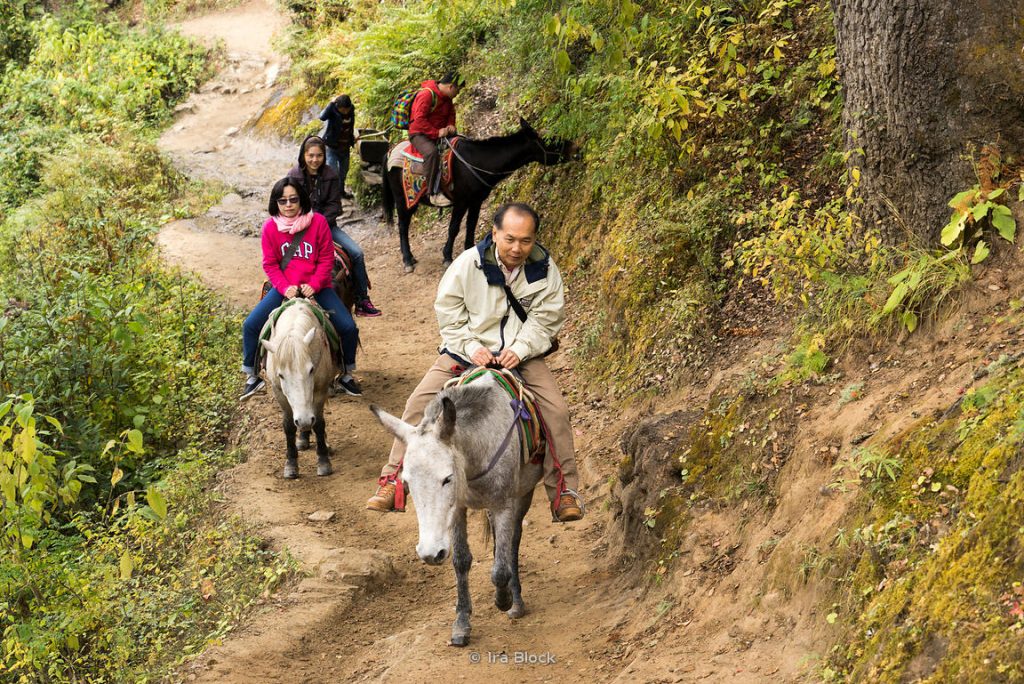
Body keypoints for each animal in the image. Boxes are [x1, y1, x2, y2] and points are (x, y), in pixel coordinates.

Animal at [260, 296, 335, 479]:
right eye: (281, 375)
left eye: (311, 370)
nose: (304, 419)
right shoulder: (279, 393)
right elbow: (288, 426)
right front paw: (291, 465)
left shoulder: (320, 390)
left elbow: (319, 424)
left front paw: (324, 462)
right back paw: (303, 437)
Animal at [370, 374, 544, 647]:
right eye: (406, 482)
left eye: (447, 479)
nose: (430, 554)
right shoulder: (457, 509)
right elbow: (461, 560)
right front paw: (462, 623)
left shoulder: (503, 504)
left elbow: (500, 567)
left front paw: (503, 599)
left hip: (523, 494)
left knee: (513, 541)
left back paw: (515, 600)